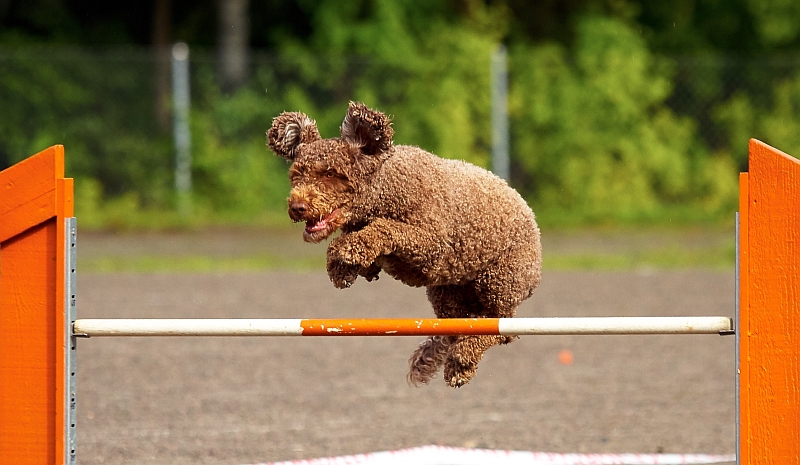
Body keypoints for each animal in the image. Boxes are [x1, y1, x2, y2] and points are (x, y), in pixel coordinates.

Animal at [268, 102, 544, 388]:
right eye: (297, 175)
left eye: (331, 174)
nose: (297, 207)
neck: (387, 187)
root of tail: (531, 218)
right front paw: (345, 266)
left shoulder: (432, 244)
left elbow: (386, 229)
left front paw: (350, 249)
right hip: (449, 295)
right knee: (458, 329)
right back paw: (440, 360)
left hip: (499, 282)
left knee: (503, 330)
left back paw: (463, 357)